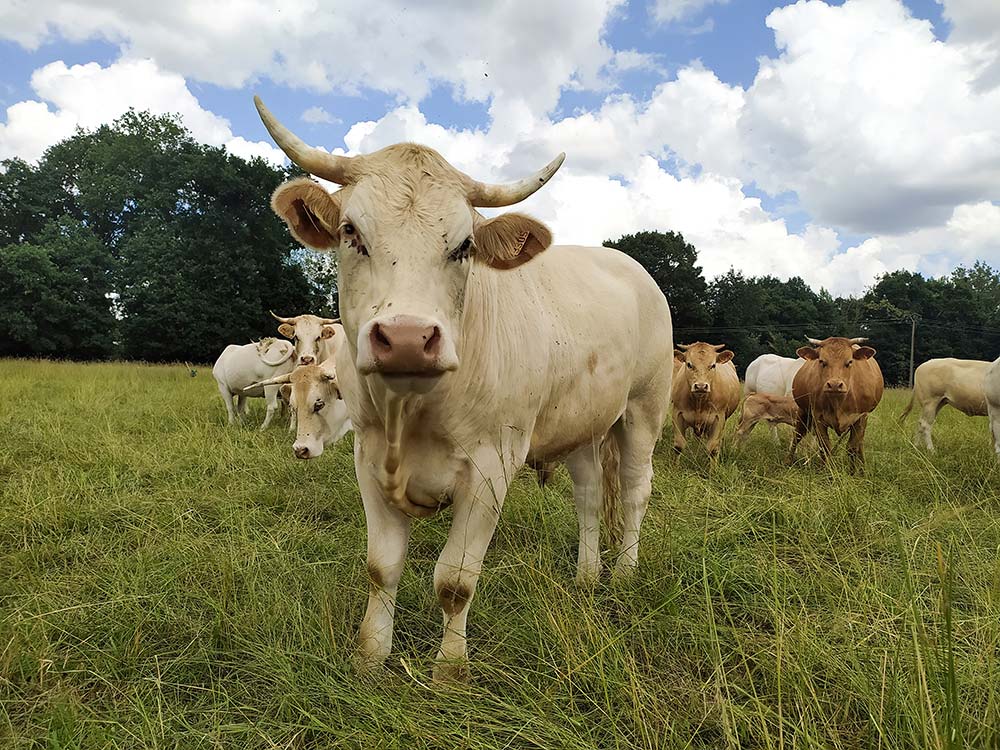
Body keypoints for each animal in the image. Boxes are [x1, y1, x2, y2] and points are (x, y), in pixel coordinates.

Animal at [252, 97, 672, 684]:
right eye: (351, 231)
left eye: (464, 246)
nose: (407, 339)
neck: (411, 412)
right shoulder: (367, 457)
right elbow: (382, 568)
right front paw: (369, 657)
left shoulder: (492, 466)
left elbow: (454, 580)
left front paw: (450, 670)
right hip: (583, 424)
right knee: (589, 496)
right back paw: (587, 577)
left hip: (642, 411)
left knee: (633, 492)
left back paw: (624, 575)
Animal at [788, 334, 884, 470]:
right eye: (822, 361)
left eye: (849, 362)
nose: (834, 385)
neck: (838, 403)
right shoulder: (817, 417)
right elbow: (825, 447)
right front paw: (826, 470)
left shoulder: (861, 416)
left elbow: (852, 448)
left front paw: (853, 471)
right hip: (803, 412)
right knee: (797, 435)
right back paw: (787, 461)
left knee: (860, 444)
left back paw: (862, 468)